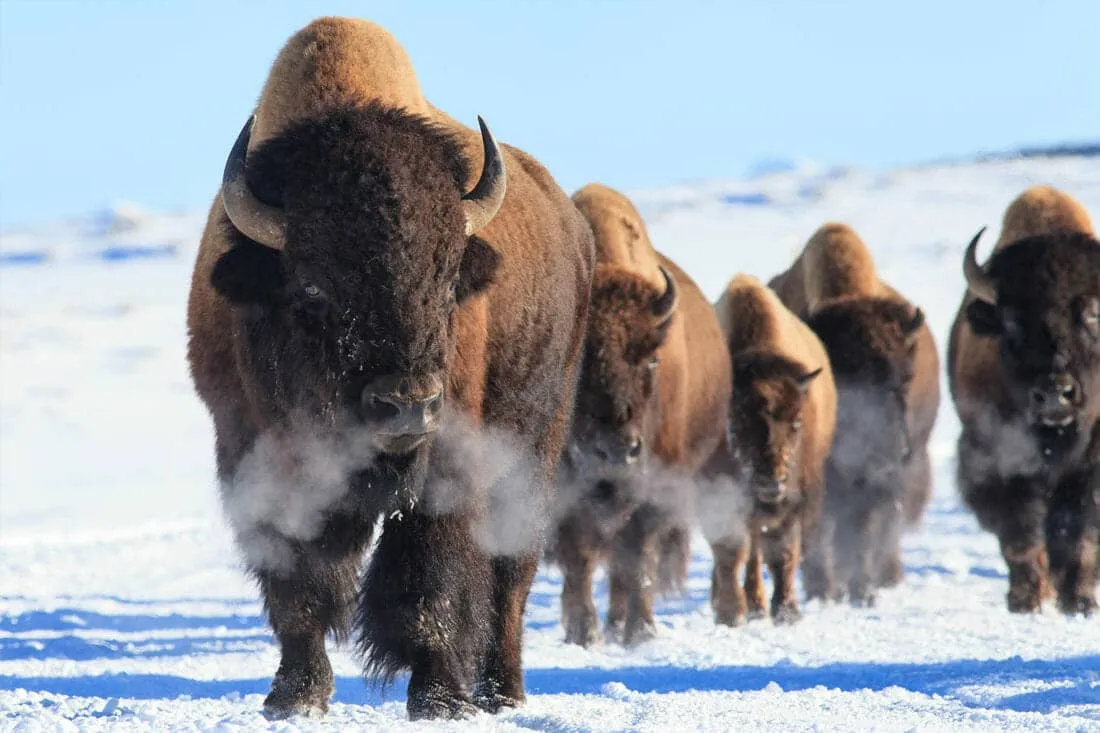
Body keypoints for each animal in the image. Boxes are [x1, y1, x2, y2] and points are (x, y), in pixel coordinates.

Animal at [186, 17, 595, 720]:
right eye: (312, 289)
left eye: (447, 279)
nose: (406, 404)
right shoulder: (255, 455)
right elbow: (297, 585)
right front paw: (294, 697)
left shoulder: (448, 460)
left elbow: (428, 580)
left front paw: (438, 700)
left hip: (537, 440)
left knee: (510, 573)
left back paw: (501, 694)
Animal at [548, 183, 731, 646]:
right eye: (581, 360)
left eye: (651, 359)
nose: (617, 450)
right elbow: (579, 557)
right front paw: (583, 633)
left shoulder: (654, 487)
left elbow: (637, 558)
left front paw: (641, 630)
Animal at [703, 274, 837, 625]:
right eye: (736, 422)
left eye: (797, 422)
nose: (771, 482)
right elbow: (731, 551)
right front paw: (730, 613)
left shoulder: (795, 501)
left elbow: (783, 553)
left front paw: (787, 612)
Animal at [770, 223, 940, 603]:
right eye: (844, 378)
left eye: (905, 377)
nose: (892, 450)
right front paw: (825, 591)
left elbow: (862, 531)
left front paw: (862, 591)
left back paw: (885, 577)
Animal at [949, 185, 1099, 615]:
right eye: (1012, 321)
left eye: (1093, 314)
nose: (1054, 393)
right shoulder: (994, 458)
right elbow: (1019, 533)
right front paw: (1026, 599)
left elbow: (1079, 530)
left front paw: (1080, 601)